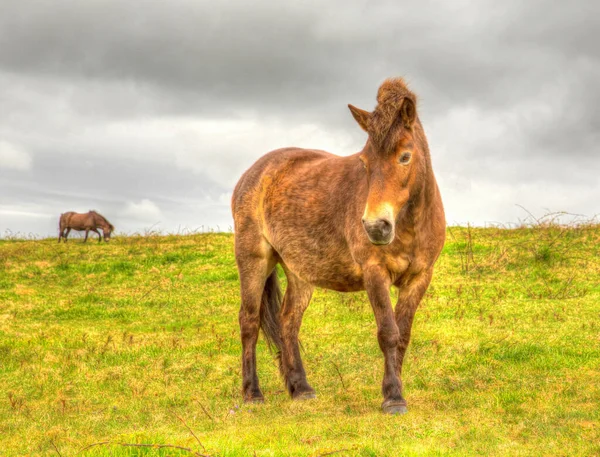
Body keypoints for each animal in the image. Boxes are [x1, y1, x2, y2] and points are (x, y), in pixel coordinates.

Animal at [232, 78, 448, 414]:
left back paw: (301, 389)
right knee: (250, 322)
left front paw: (397, 391)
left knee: (288, 321)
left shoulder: (420, 277)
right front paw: (393, 397)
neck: (410, 224)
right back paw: (253, 394)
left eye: (405, 156)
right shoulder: (375, 273)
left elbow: (403, 335)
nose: (375, 226)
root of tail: (254, 173)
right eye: (365, 162)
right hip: (254, 259)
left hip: (299, 272)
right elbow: (388, 332)